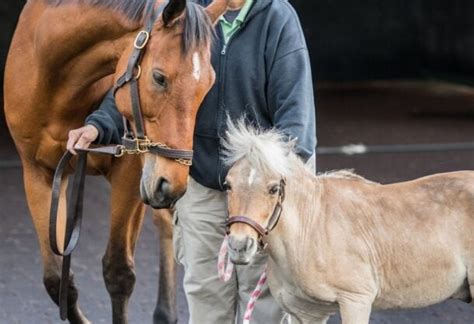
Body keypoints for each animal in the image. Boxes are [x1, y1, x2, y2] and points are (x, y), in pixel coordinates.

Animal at [224, 121, 474, 324]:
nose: (239, 246)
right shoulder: (305, 312)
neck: (310, 228)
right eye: (228, 184)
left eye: (274, 188)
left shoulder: (356, 301)